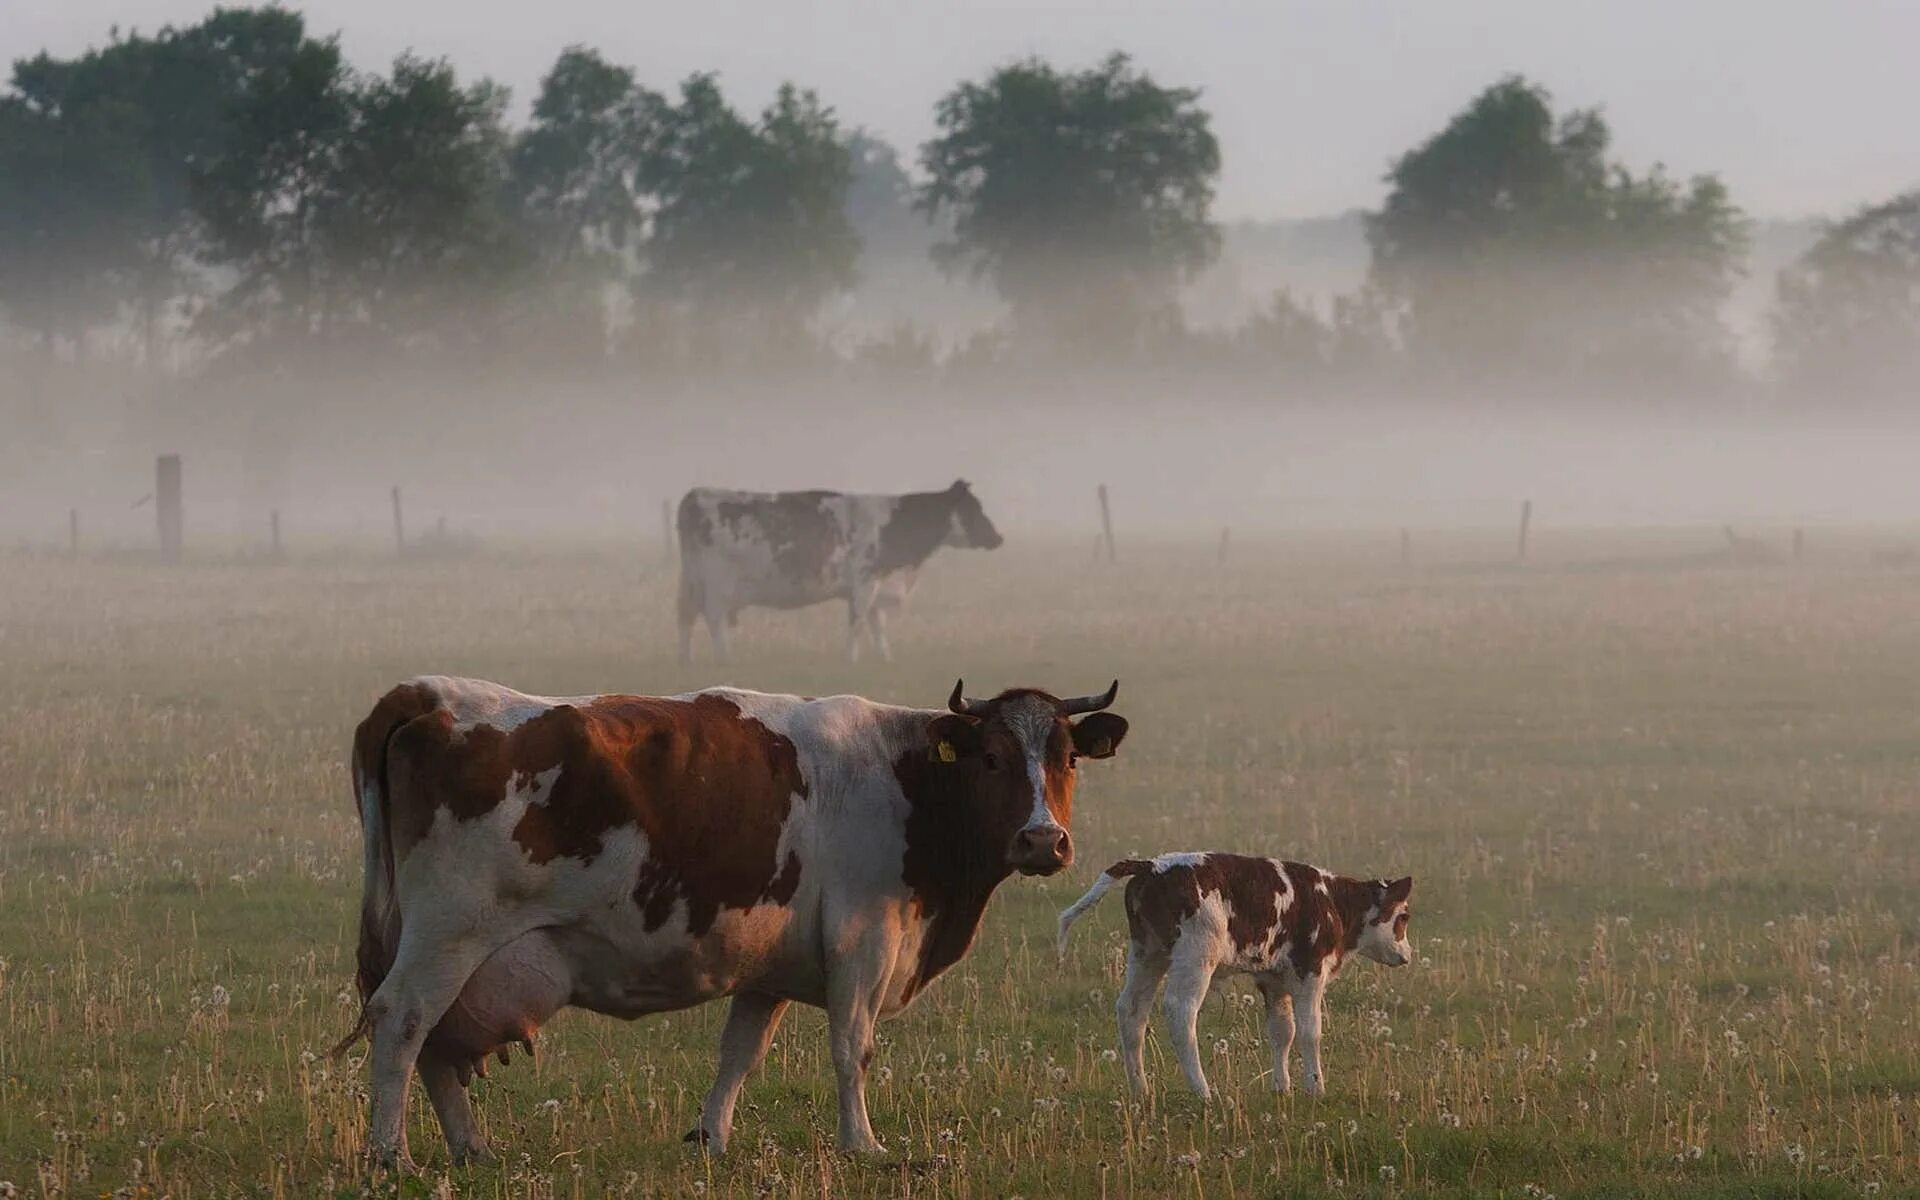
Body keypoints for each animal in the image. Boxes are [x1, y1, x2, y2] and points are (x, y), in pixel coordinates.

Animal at [332, 668, 1121, 1167]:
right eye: (991, 758)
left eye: (1068, 758)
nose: (1043, 841)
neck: (903, 775)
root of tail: (426, 694)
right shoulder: (863, 942)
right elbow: (852, 1050)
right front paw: (863, 1145)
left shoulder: (767, 968)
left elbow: (740, 1052)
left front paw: (712, 1137)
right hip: (448, 936)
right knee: (404, 1021)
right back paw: (390, 1154)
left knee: (436, 1044)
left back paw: (471, 1149)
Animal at [675, 480, 1006, 664]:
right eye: (974, 509)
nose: (998, 537)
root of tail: (696, 495)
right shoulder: (865, 580)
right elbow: (858, 622)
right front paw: (851, 660)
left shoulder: (876, 584)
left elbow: (877, 623)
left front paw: (886, 658)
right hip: (717, 584)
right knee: (713, 618)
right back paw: (725, 659)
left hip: (692, 580)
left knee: (686, 616)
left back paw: (686, 661)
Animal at [1052, 852, 1413, 1105]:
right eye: (1404, 917)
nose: (1407, 955)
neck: (1331, 902)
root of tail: (1151, 866)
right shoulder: (1310, 973)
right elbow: (1310, 1032)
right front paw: (1315, 1087)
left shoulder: (1273, 980)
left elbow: (1282, 1032)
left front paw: (1282, 1088)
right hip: (1195, 957)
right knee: (1181, 1013)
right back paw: (1202, 1091)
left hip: (1147, 954)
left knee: (1131, 1011)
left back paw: (1140, 1089)